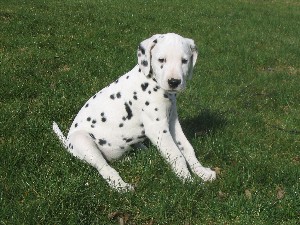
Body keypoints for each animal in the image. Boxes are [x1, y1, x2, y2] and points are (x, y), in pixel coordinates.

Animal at [52, 33, 217, 192]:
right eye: (161, 59)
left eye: (184, 60)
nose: (174, 82)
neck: (151, 82)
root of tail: (67, 144)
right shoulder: (158, 129)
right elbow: (176, 155)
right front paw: (189, 182)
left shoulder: (172, 123)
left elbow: (187, 149)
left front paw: (202, 172)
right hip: (83, 141)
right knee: (105, 167)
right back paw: (121, 186)